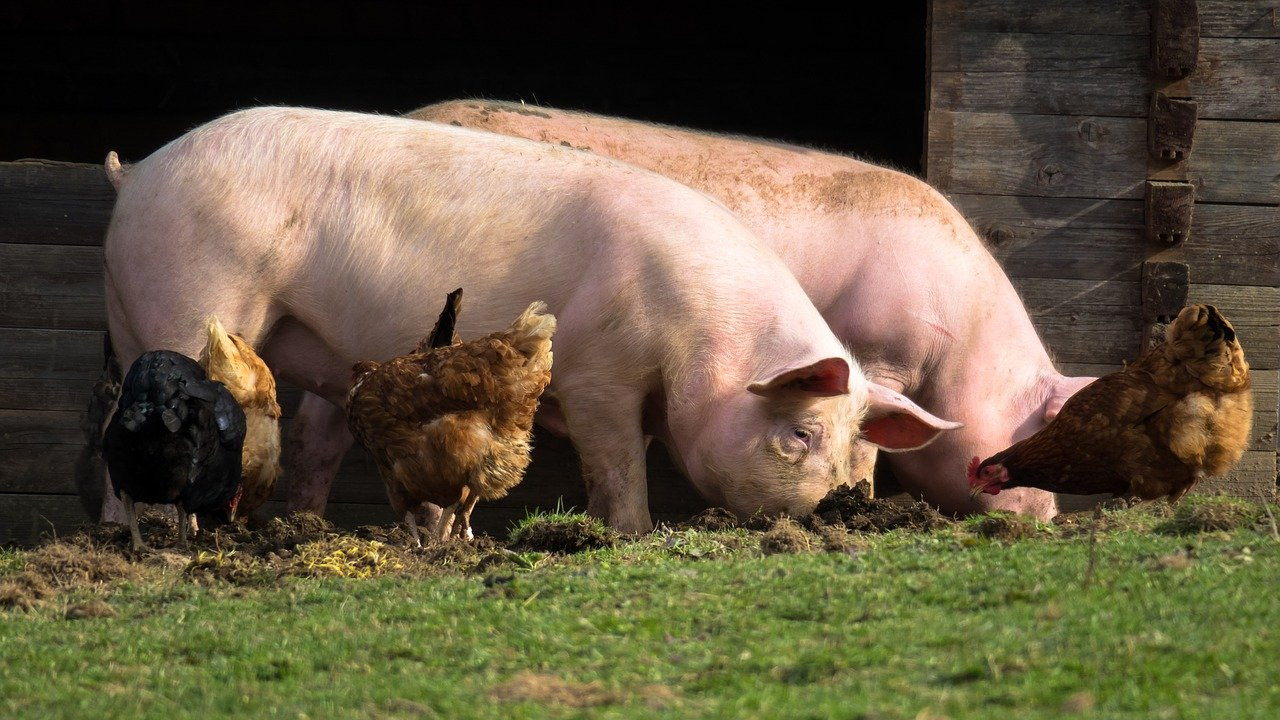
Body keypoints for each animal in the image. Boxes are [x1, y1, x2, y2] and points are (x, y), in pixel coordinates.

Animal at [104, 107, 957, 532]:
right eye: (802, 433)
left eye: (852, 441)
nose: (841, 508)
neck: (703, 340)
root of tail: (140, 172)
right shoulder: (598, 374)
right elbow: (616, 463)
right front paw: (630, 534)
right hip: (196, 293)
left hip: (134, 315)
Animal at [404, 101, 1095, 515]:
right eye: (1034, 433)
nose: (1047, 518)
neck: (961, 348)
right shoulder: (878, 355)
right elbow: (865, 446)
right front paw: (863, 504)